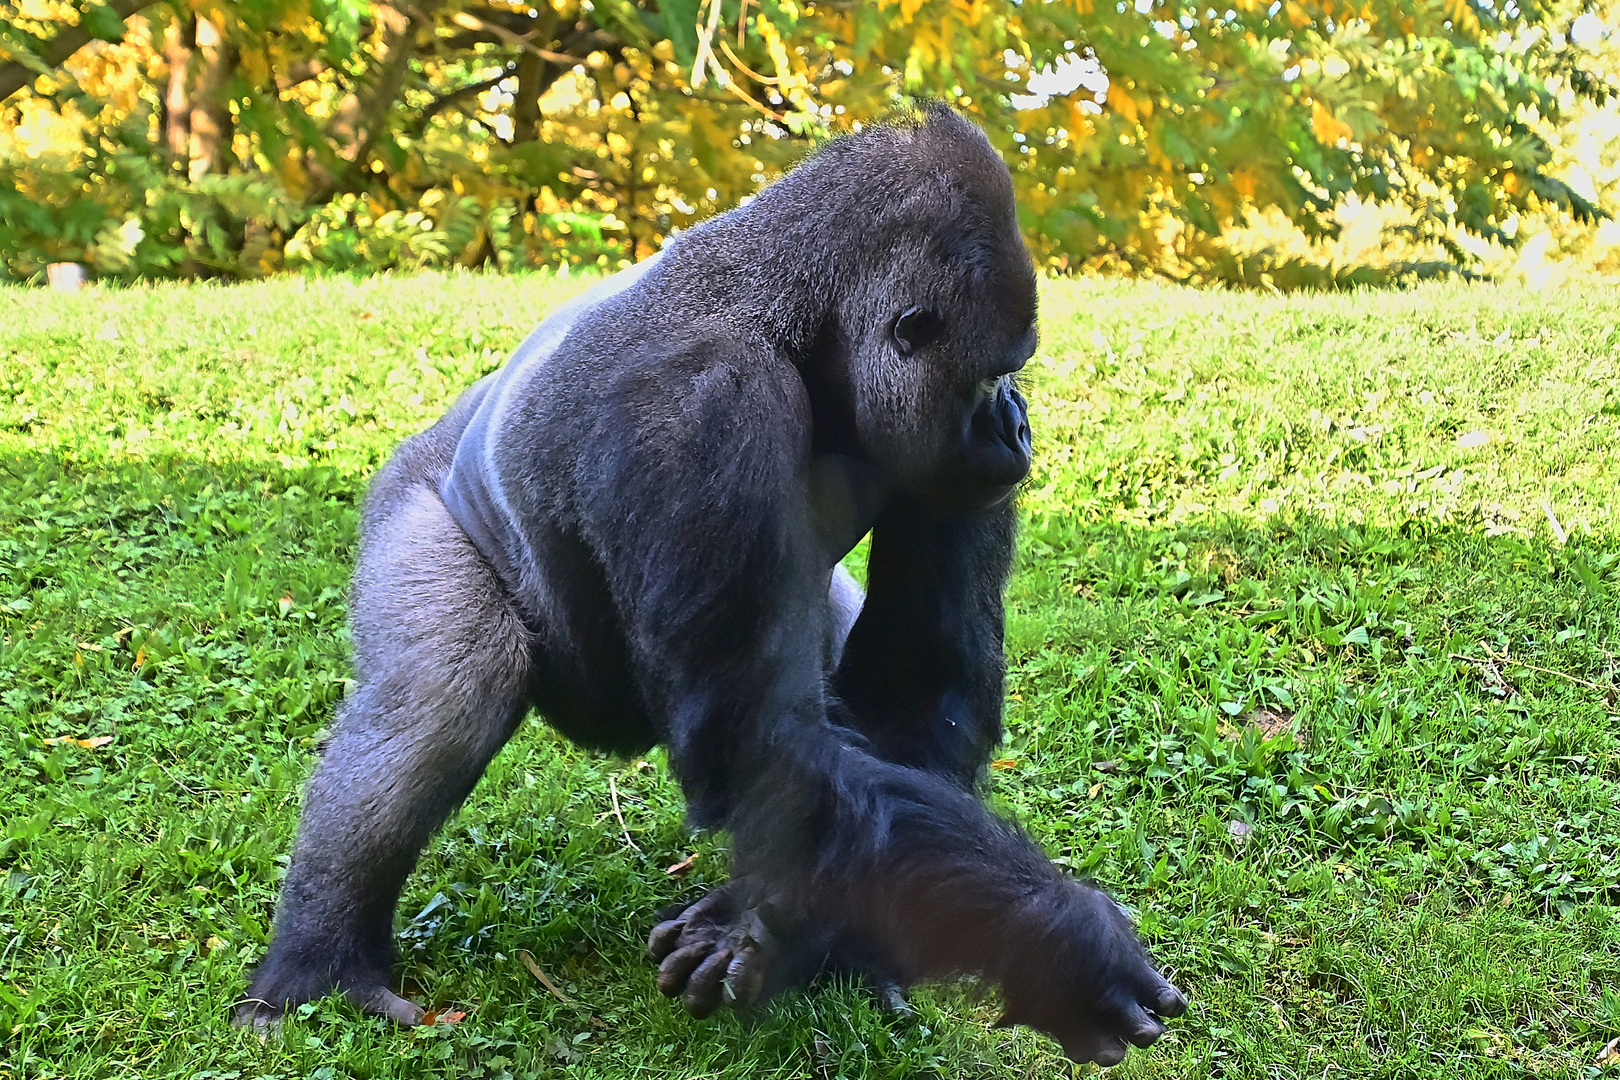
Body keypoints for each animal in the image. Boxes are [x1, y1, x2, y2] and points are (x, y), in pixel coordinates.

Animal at [234, 105, 1185, 1068]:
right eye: (994, 375)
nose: (1017, 424)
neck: (797, 325)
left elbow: (906, 696)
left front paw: (763, 930)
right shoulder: (700, 407)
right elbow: (757, 742)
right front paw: (1066, 943)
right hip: (413, 501)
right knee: (446, 691)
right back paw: (324, 953)